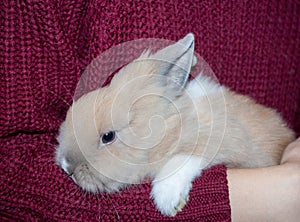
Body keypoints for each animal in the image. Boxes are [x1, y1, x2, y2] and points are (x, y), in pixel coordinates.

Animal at [55, 33, 294, 217]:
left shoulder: (222, 139)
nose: (67, 167)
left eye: (108, 136)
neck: (171, 124)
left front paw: (167, 200)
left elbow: (184, 158)